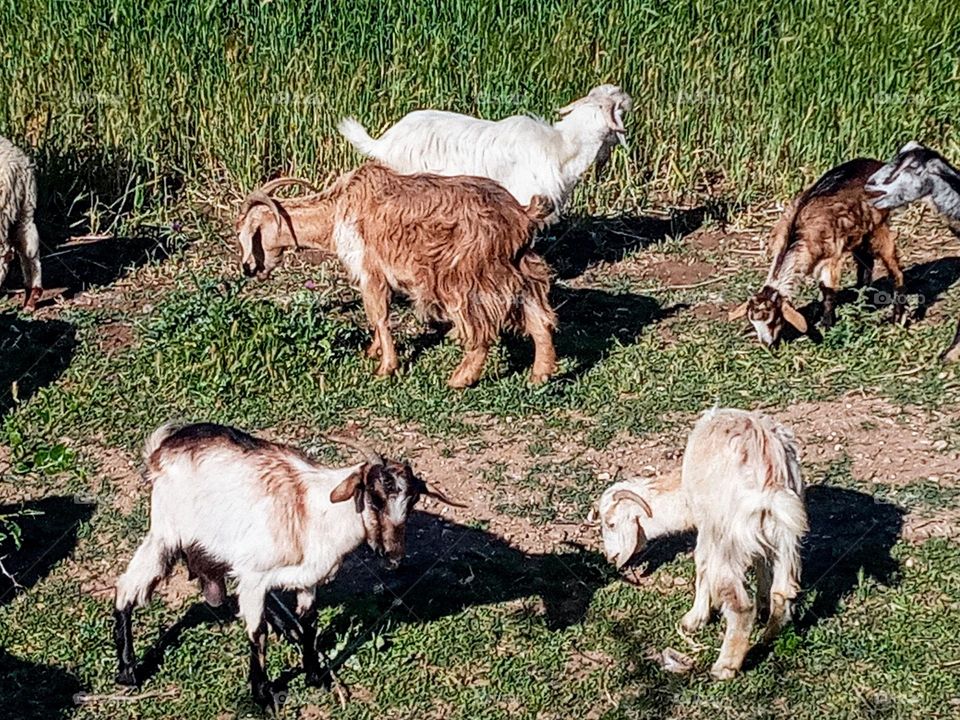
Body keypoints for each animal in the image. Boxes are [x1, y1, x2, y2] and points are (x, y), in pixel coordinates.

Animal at [113, 423, 451, 710]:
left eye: (411, 504)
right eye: (375, 497)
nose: (393, 555)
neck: (314, 511)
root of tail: (161, 449)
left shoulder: (308, 579)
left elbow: (310, 622)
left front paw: (315, 676)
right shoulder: (253, 577)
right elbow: (257, 633)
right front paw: (263, 696)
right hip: (166, 535)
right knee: (126, 588)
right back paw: (128, 671)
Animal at [236, 162, 558, 388]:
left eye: (249, 234)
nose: (248, 268)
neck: (337, 210)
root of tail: (521, 217)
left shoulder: (369, 270)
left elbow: (378, 315)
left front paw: (385, 368)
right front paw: (373, 352)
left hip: (464, 278)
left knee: (481, 332)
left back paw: (459, 380)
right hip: (522, 269)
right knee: (539, 319)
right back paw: (539, 376)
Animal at [599, 407, 807, 679]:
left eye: (611, 523)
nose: (610, 558)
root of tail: (770, 474)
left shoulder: (707, 527)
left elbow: (702, 567)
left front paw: (694, 620)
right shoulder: (761, 540)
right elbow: (761, 565)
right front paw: (763, 606)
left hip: (727, 537)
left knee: (740, 606)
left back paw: (724, 667)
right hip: (785, 534)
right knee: (783, 591)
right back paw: (767, 637)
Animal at [730, 159, 905, 345]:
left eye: (774, 320)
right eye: (753, 322)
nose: (766, 344)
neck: (797, 233)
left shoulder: (831, 258)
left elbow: (827, 290)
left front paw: (827, 325)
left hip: (878, 225)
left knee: (894, 267)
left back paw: (897, 316)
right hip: (859, 233)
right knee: (866, 262)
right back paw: (861, 299)